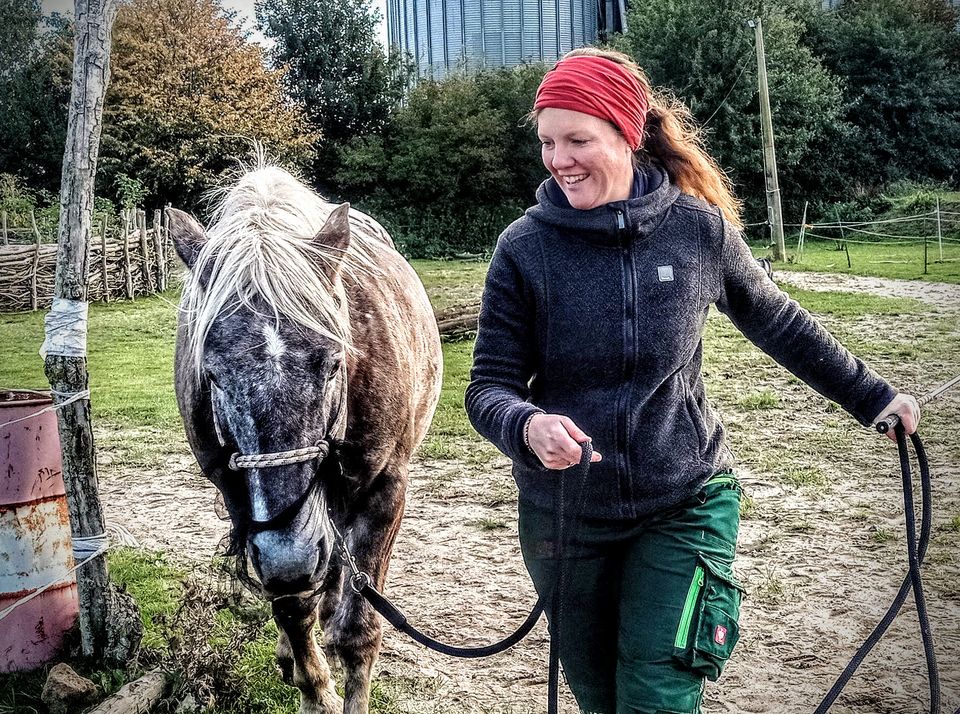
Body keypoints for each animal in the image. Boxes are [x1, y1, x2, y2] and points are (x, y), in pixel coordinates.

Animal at [168, 165, 442, 712]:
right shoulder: (247, 510)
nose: (290, 559)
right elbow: (292, 608)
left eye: (334, 362)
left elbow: (359, 631)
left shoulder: (385, 490)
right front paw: (313, 687)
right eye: (212, 375)